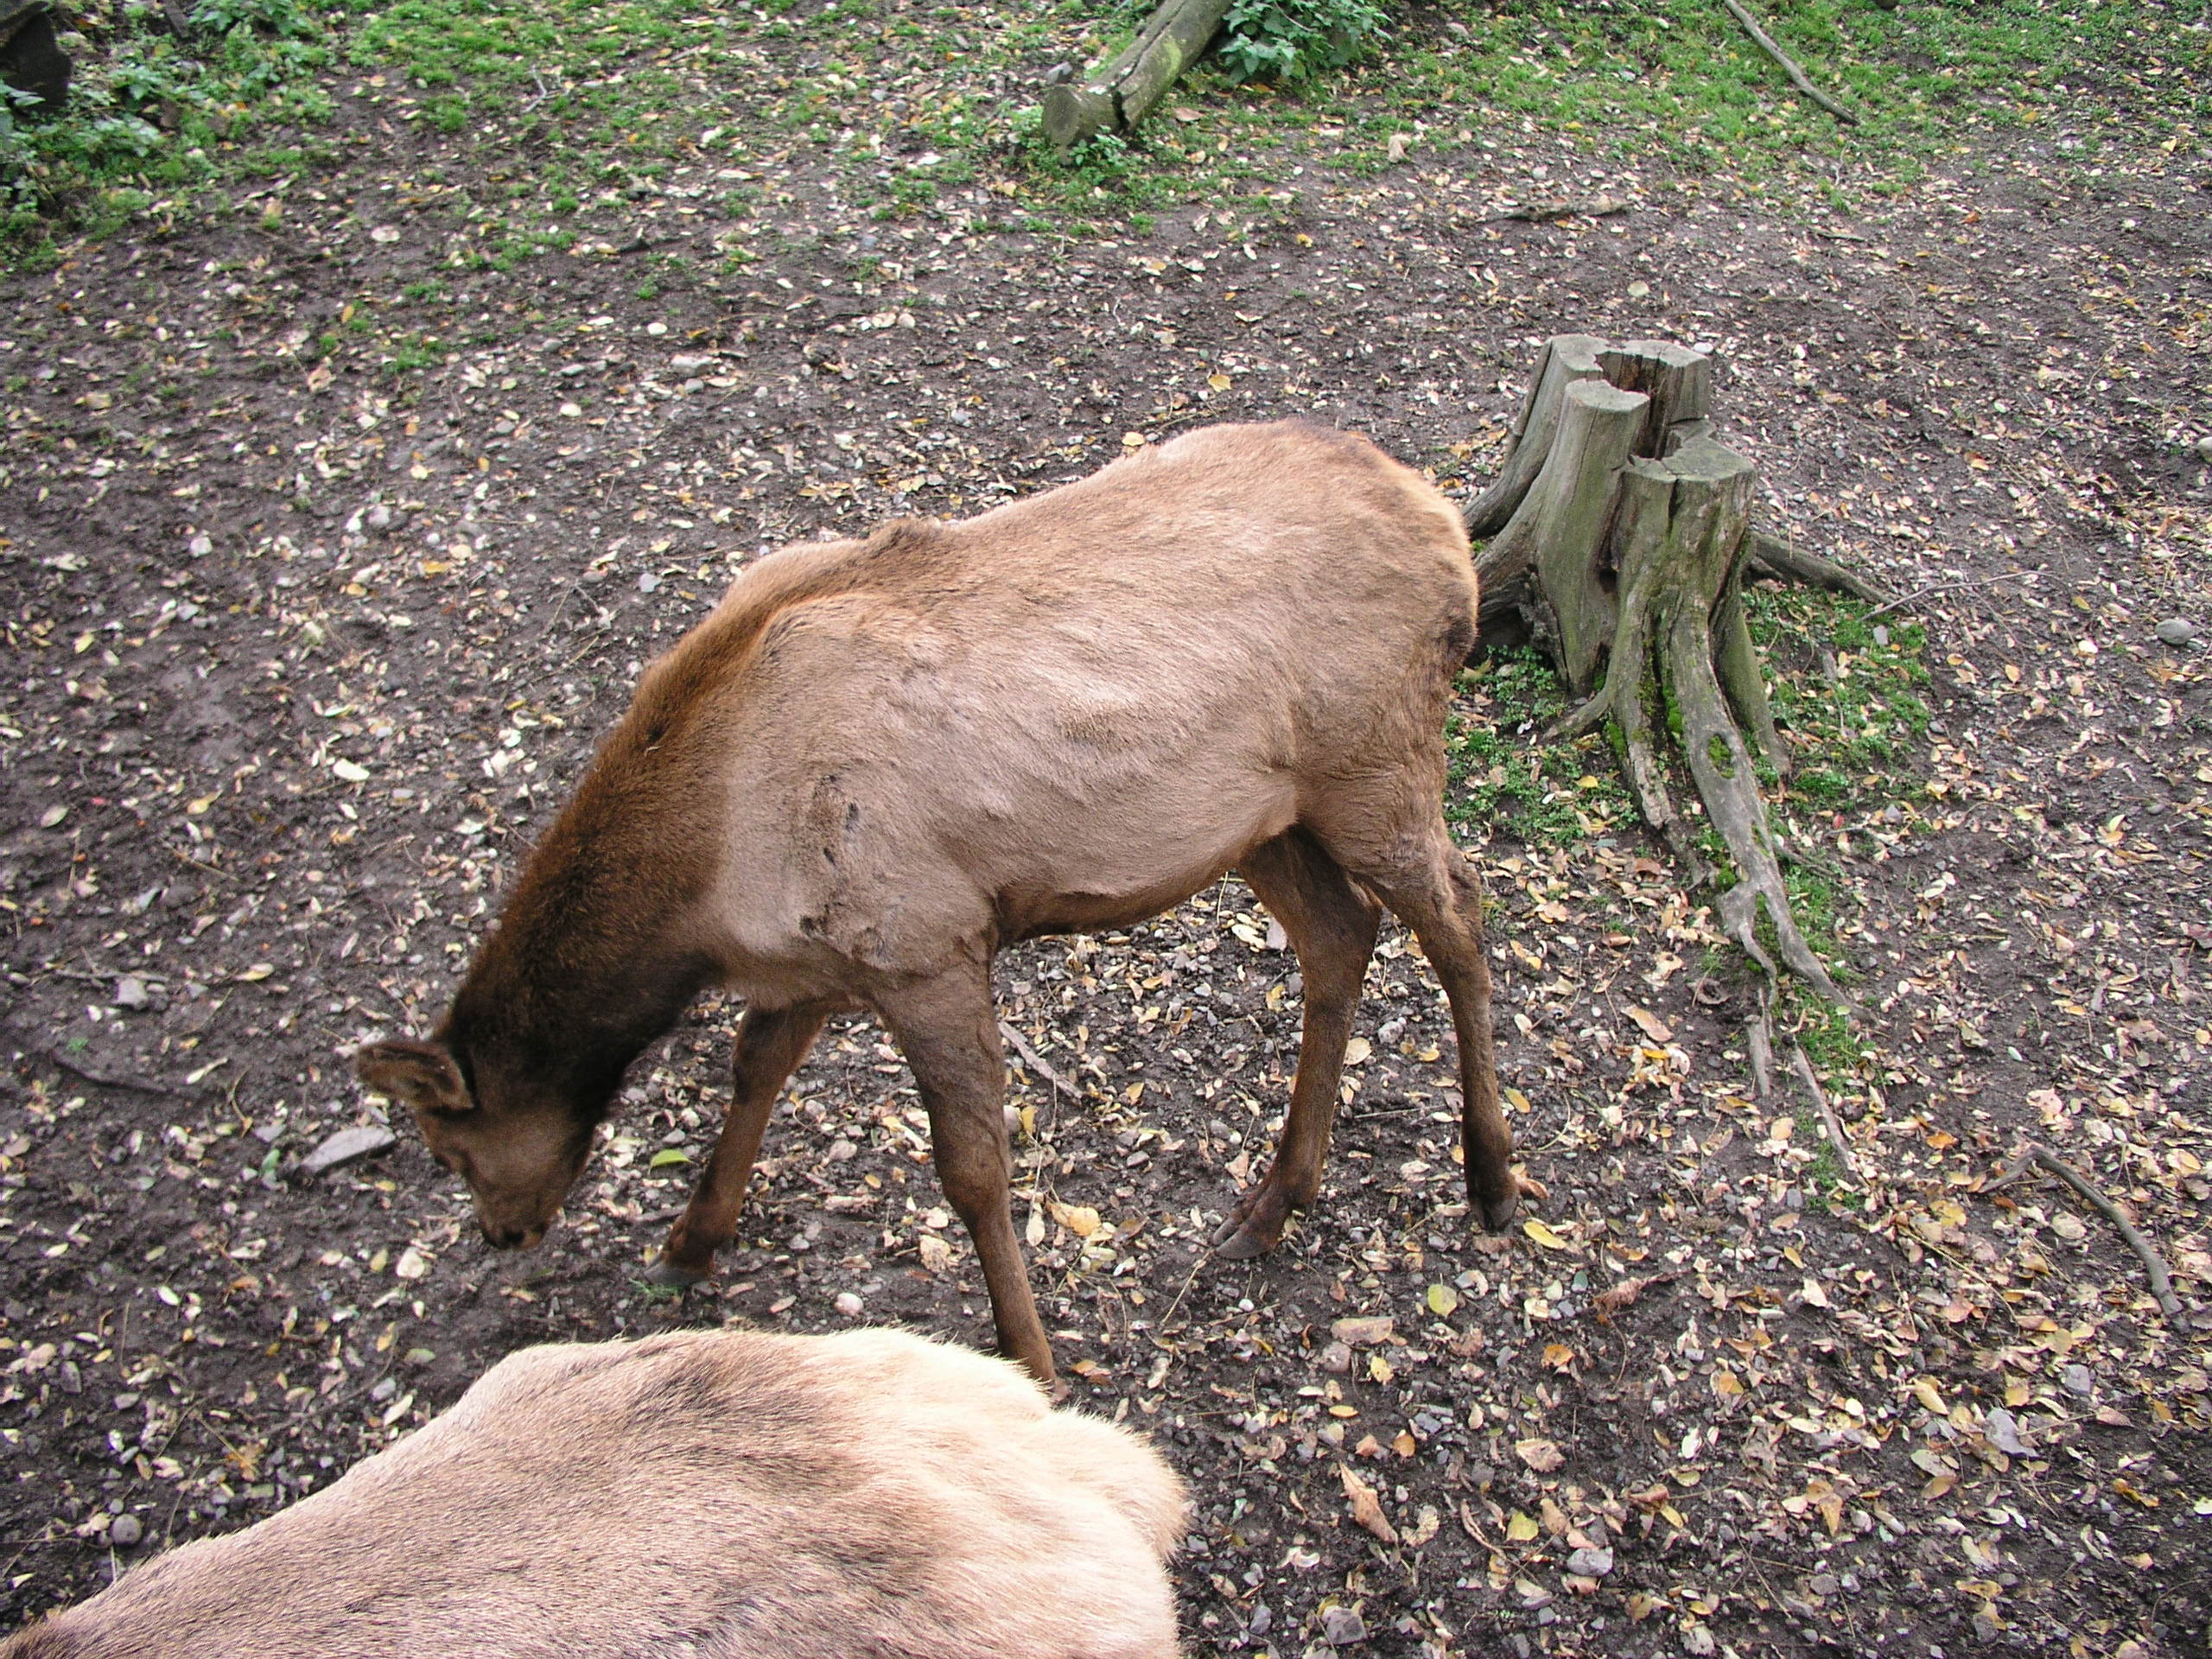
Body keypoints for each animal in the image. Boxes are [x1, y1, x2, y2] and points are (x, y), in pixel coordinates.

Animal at [354, 420, 1546, 1381]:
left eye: (450, 1148)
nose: (502, 1233)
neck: (706, 878)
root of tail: (1444, 523)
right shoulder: (822, 957)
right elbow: (753, 1069)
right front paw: (695, 1237)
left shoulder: (923, 937)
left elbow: (969, 1170)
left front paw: (1035, 1363)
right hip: (1262, 819)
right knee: (1341, 934)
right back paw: (1274, 1198)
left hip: (1373, 757)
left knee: (1462, 912)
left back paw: (1490, 1179)